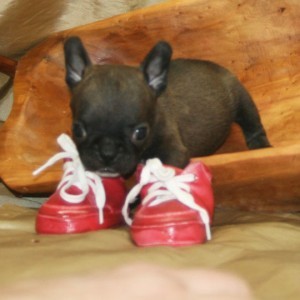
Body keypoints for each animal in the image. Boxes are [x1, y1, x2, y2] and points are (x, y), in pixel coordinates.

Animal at [64, 36, 270, 177]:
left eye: (140, 133)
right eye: (77, 130)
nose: (107, 153)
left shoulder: (174, 153)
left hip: (241, 98)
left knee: (252, 122)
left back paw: (260, 144)